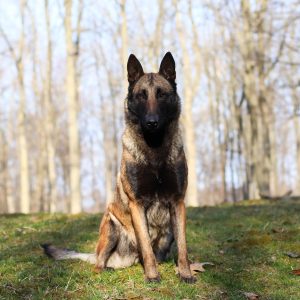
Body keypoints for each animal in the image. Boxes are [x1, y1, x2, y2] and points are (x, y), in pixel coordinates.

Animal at [42, 51, 197, 284]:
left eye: (161, 95)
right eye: (142, 95)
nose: (151, 122)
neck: (154, 149)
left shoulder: (178, 202)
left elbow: (183, 246)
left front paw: (185, 273)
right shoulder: (137, 204)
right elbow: (146, 246)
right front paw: (152, 276)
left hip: (166, 231)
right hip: (111, 226)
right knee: (98, 264)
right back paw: (104, 270)